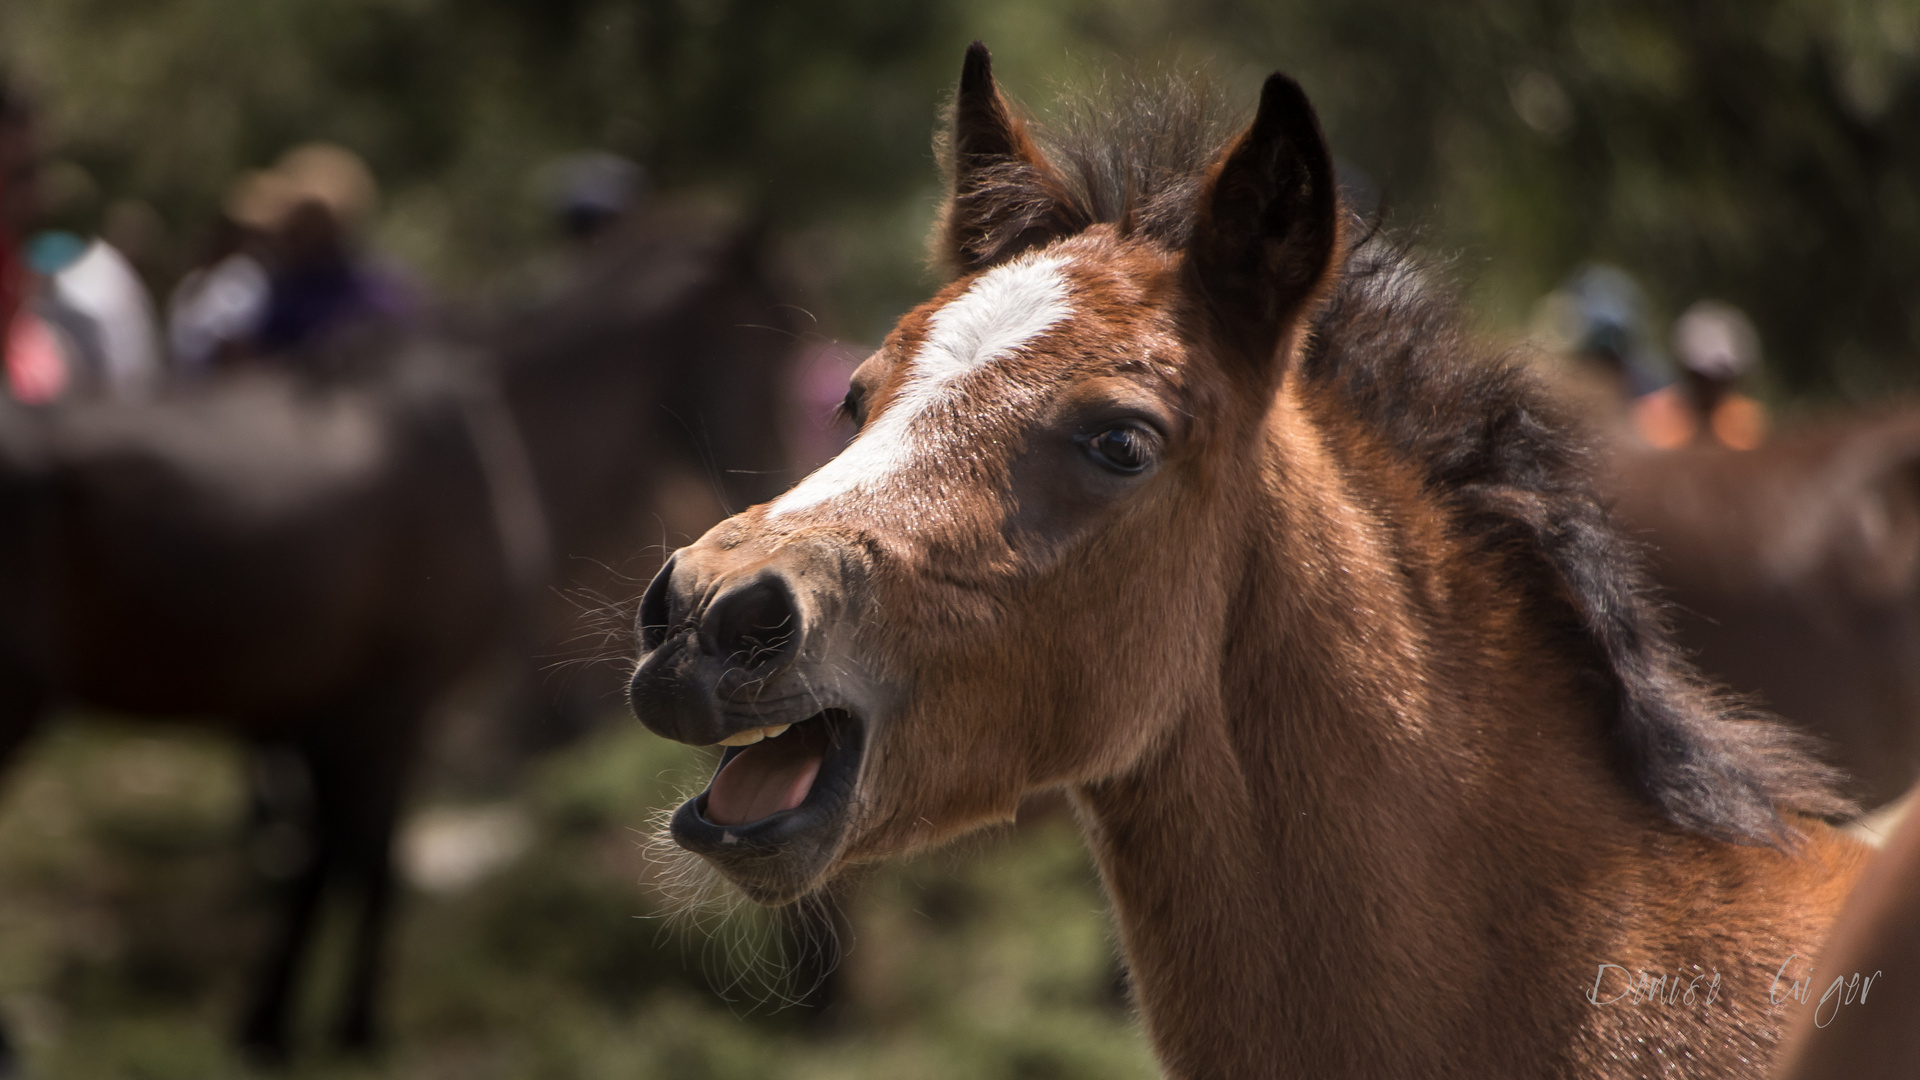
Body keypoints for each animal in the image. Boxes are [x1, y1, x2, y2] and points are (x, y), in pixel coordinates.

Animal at [0, 203, 798, 1060]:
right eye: (776, 335)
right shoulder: (394, 706)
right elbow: (368, 862)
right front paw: (353, 1025)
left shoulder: (331, 710)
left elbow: (325, 864)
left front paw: (270, 1019)